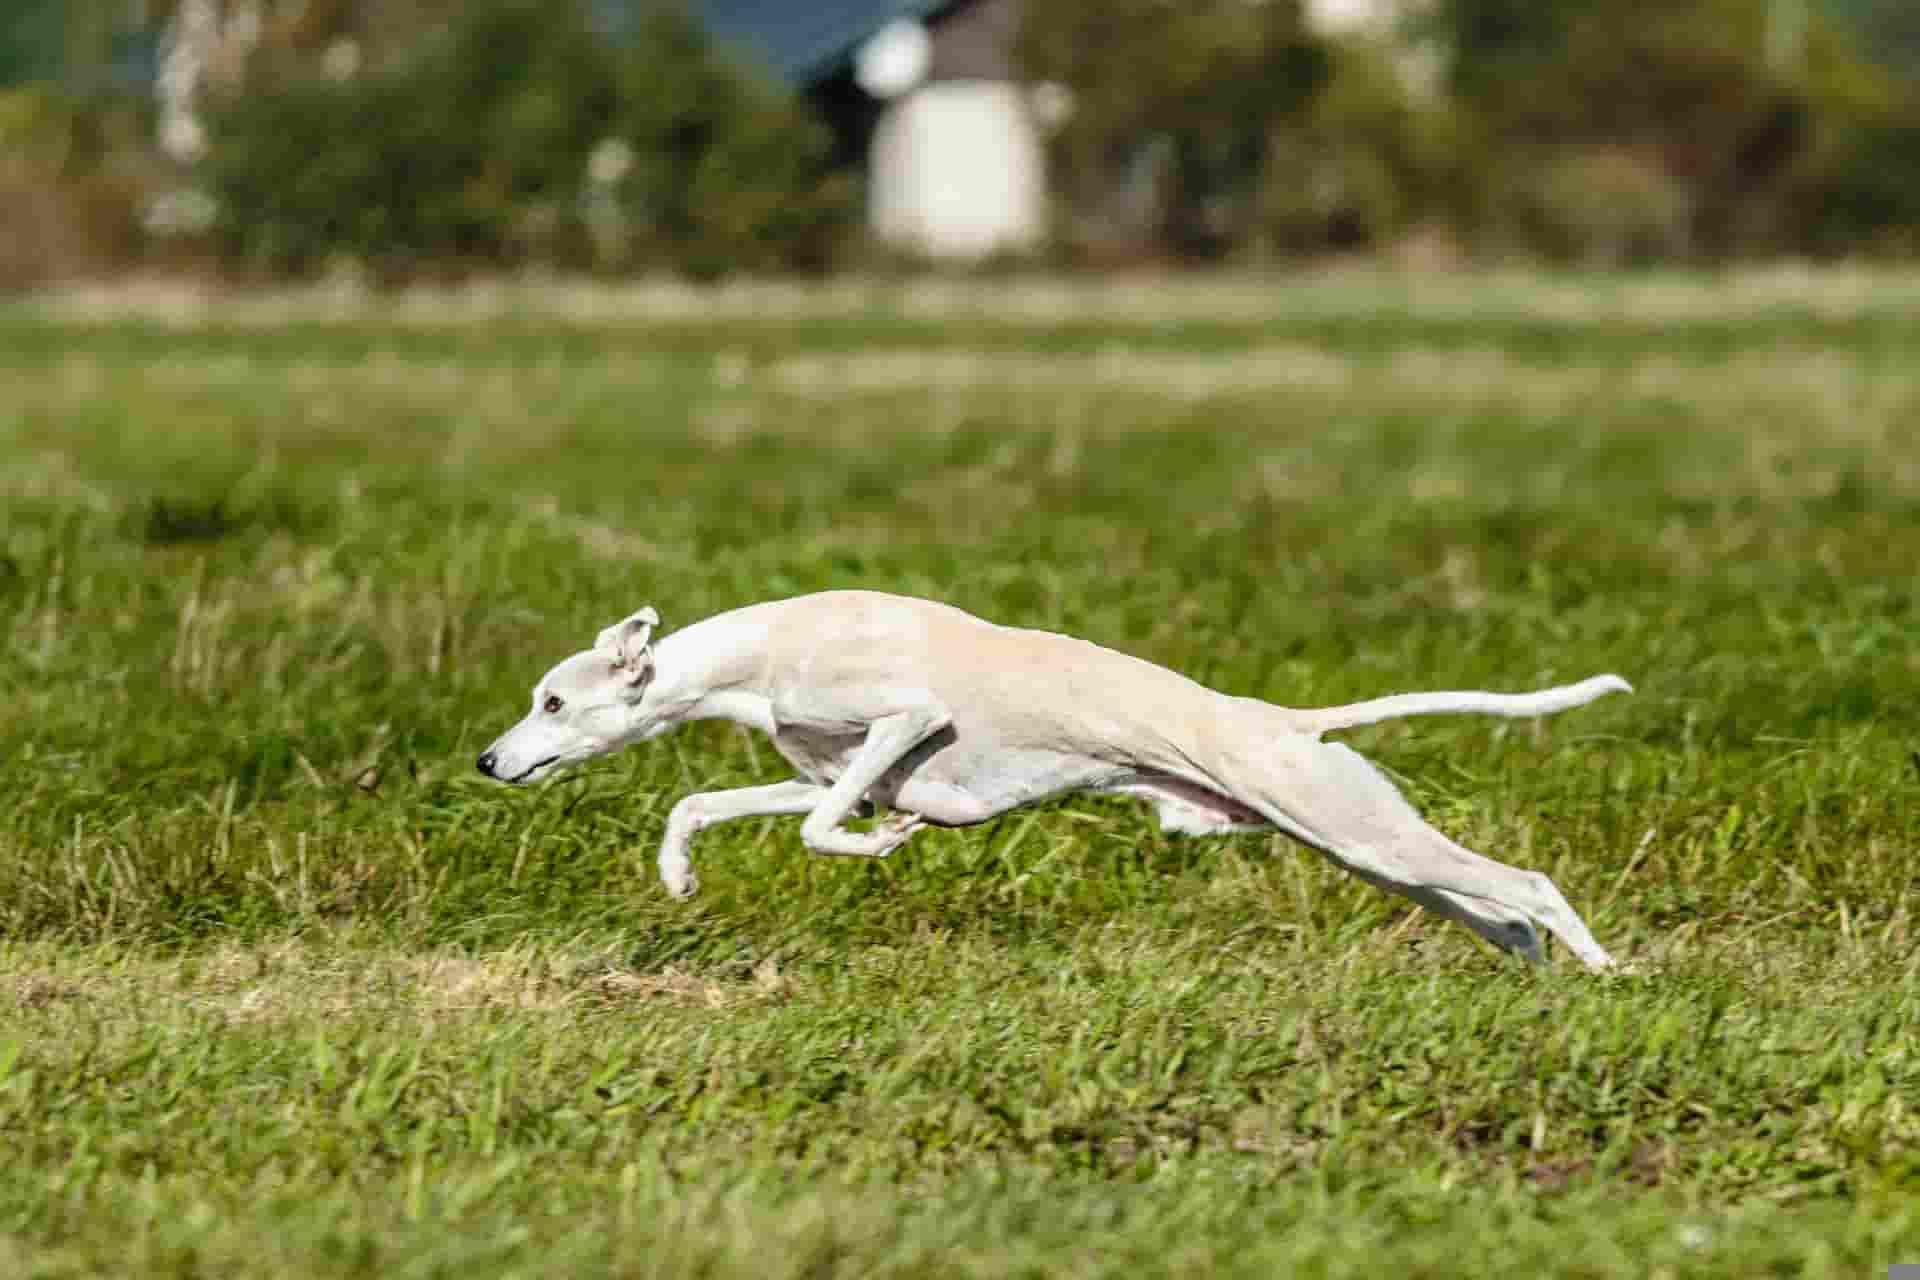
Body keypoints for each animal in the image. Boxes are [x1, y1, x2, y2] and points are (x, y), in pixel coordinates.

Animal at [480, 591, 1635, 971]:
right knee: (1497, 912)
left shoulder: (904, 718)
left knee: (1529, 884)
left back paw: (1609, 973)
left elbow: (821, 827)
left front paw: (875, 847)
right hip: (1367, 850)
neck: (763, 648)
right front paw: (678, 874)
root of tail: (1291, 724)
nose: (487, 760)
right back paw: (1538, 972)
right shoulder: (839, 769)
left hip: (1359, 832)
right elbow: (712, 802)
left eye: (552, 701)